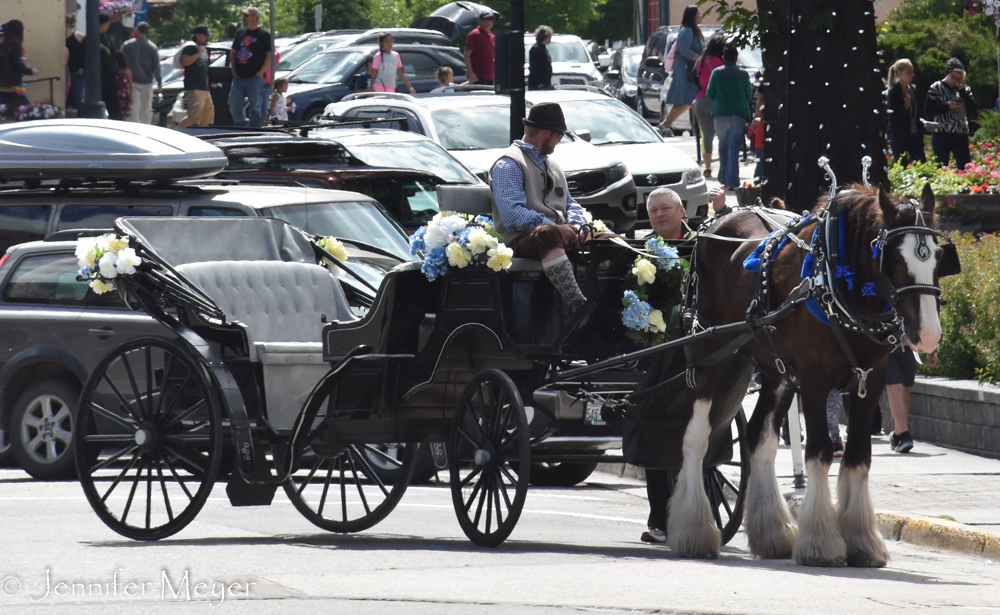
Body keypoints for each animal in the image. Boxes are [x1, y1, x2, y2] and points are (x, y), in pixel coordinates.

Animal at [668, 184, 948, 568]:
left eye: (937, 256)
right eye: (893, 256)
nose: (929, 335)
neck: (839, 285)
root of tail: (714, 223)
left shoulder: (870, 381)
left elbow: (858, 456)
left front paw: (861, 540)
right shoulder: (815, 381)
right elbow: (819, 452)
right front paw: (821, 542)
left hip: (776, 370)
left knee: (759, 439)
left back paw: (771, 532)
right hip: (707, 355)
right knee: (696, 438)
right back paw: (693, 529)